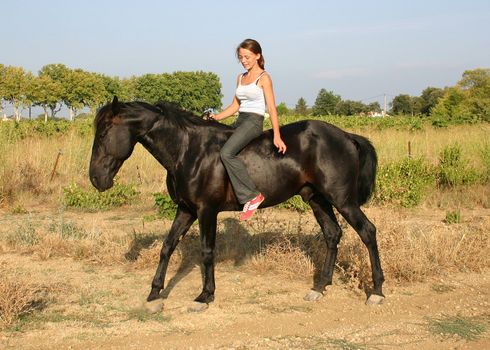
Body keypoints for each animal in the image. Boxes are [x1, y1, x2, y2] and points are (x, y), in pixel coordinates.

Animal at [90, 97, 384, 308]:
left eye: (104, 133)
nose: (96, 178)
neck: (189, 150)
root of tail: (346, 136)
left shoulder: (206, 211)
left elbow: (207, 251)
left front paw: (205, 295)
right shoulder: (185, 210)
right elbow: (167, 246)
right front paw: (154, 292)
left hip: (343, 200)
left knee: (368, 232)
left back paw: (377, 291)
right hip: (317, 199)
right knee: (332, 234)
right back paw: (320, 288)